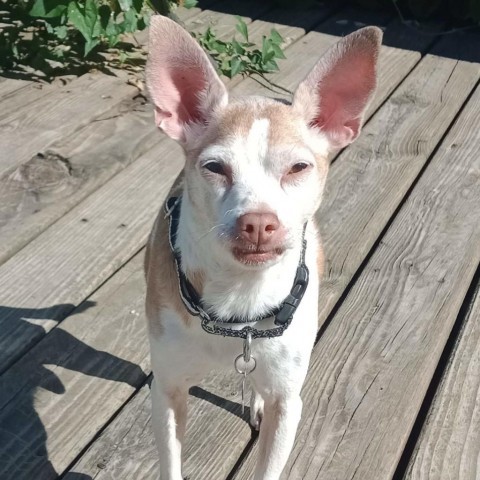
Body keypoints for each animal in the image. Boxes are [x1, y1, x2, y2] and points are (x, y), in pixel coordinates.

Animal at [144, 15, 380, 480]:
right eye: (214, 168)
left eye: (299, 167)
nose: (257, 222)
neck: (240, 301)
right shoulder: (167, 393)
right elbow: (171, 463)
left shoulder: (288, 404)